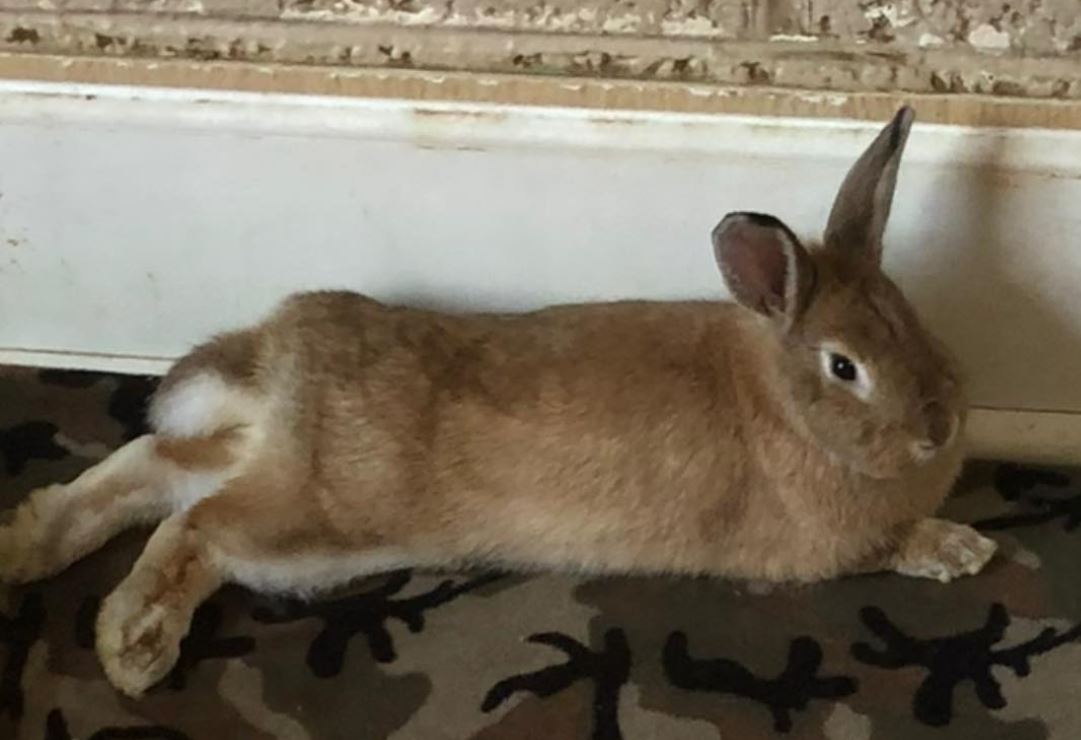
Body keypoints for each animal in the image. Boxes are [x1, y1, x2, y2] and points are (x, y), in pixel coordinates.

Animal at [0, 106, 996, 698]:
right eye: (843, 367)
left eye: (908, 316)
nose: (938, 427)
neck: (782, 403)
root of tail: (284, 349)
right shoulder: (829, 547)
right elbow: (891, 545)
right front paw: (963, 549)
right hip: (316, 517)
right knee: (194, 524)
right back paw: (131, 645)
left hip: (299, 516)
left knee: (155, 471)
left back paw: (25, 545)